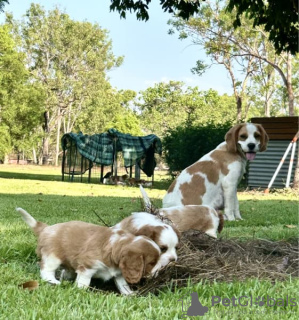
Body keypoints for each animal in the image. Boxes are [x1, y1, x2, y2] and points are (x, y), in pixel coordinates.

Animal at [15, 208, 162, 296]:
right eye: (151, 263)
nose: (158, 273)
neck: (117, 244)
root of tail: (46, 228)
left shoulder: (119, 273)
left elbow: (122, 284)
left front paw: (129, 293)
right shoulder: (87, 266)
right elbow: (84, 282)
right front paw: (81, 290)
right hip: (52, 257)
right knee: (46, 269)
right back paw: (54, 281)